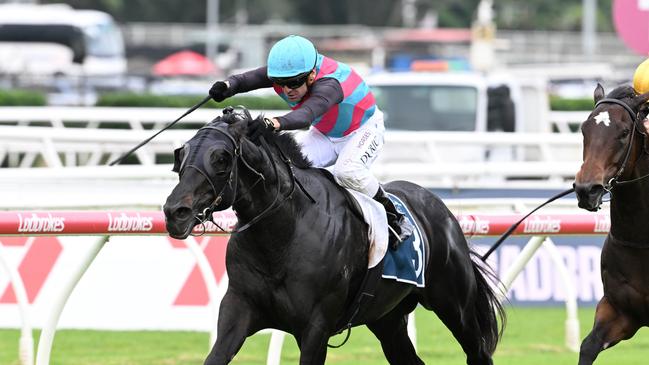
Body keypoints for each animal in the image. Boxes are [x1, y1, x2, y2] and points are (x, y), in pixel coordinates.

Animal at [163, 108, 506, 364]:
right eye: (181, 155)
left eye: (221, 159)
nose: (174, 212)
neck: (283, 234)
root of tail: (441, 208)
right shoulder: (239, 310)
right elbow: (216, 355)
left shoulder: (316, 326)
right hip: (387, 319)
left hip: (454, 305)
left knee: (478, 353)